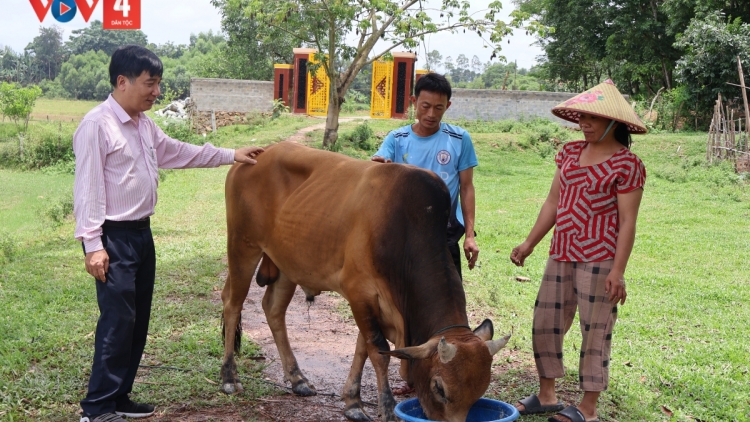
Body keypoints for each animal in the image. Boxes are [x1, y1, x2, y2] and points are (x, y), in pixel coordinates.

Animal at [219, 143, 512, 422]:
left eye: (479, 393)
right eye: (439, 388)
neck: (406, 229)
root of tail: (255, 155)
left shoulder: (374, 301)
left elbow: (363, 349)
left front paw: (353, 402)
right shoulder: (359, 292)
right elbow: (379, 351)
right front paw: (387, 409)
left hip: (286, 264)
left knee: (273, 309)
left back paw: (297, 378)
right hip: (242, 245)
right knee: (232, 303)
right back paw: (229, 378)